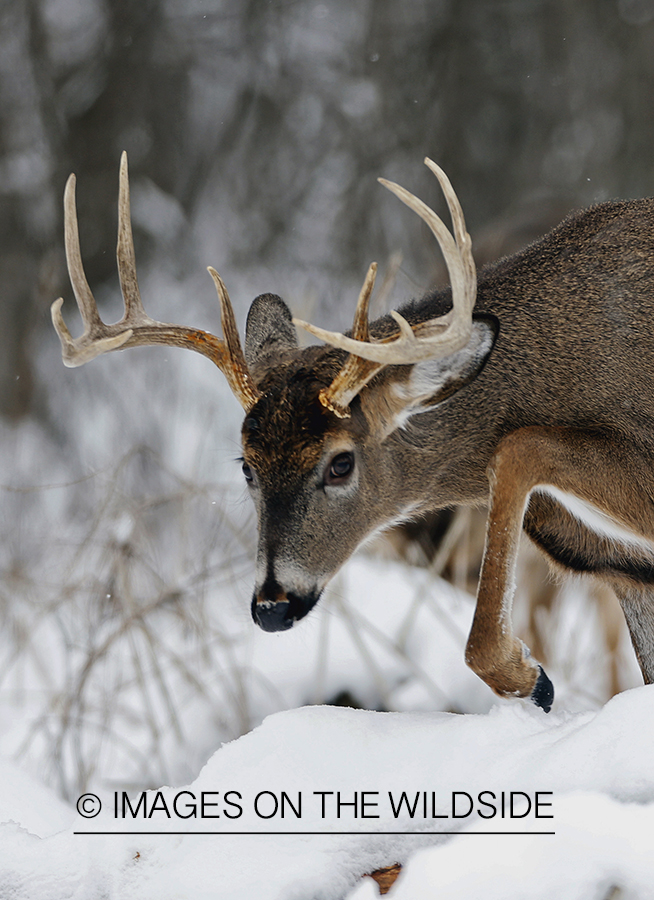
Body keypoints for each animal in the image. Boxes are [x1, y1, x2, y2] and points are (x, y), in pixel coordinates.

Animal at [52, 158, 654, 712]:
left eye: (341, 463)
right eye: (246, 465)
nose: (272, 605)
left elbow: (517, 442)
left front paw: (532, 679)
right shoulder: (625, 567)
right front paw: (532, 678)